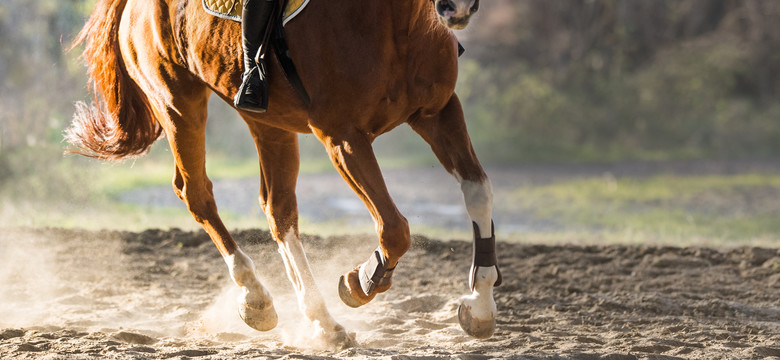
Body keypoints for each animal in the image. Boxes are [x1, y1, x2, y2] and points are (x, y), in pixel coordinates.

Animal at [70, 0, 502, 346]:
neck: (396, 21)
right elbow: (394, 228)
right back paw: (257, 297)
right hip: (178, 103)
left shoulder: (438, 113)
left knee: (278, 210)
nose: (457, 9)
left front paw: (480, 306)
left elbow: (478, 192)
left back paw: (321, 321)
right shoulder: (342, 137)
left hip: (266, 121)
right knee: (196, 194)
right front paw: (360, 280)